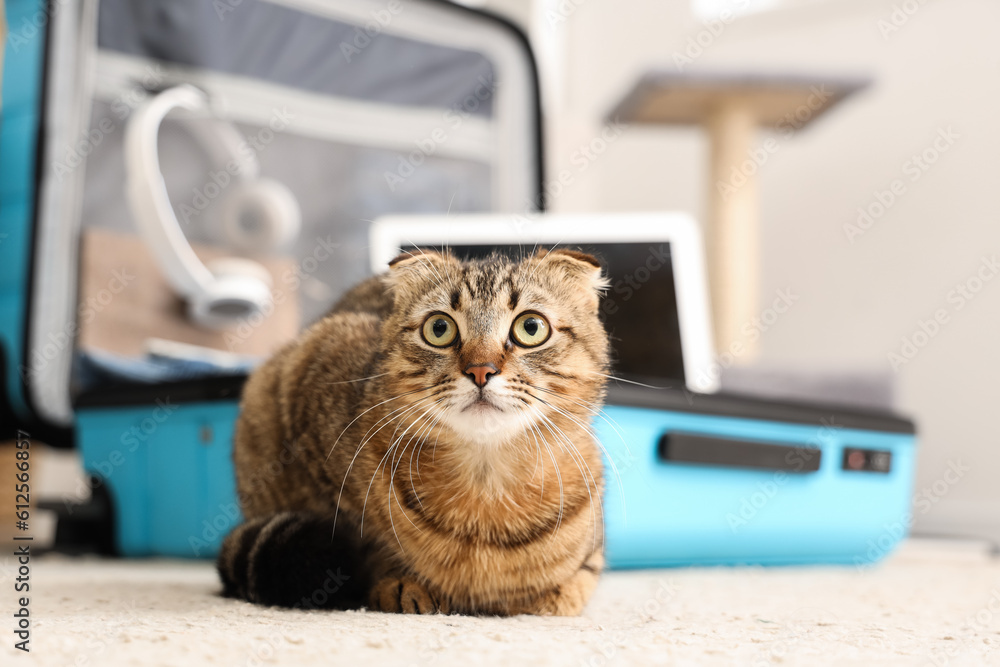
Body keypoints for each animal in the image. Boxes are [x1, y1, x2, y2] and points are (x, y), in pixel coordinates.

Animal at [217, 248, 608, 620]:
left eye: (531, 327)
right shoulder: (308, 378)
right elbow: (357, 534)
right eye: (439, 328)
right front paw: (401, 580)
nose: (480, 370)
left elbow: (571, 586)